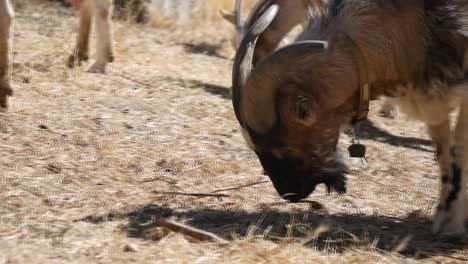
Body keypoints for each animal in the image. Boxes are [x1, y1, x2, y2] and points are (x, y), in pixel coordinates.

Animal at [233, 1, 468, 237]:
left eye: (282, 149)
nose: (288, 194)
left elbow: (457, 150)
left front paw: (451, 225)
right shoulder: (434, 99)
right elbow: (443, 154)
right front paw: (443, 218)